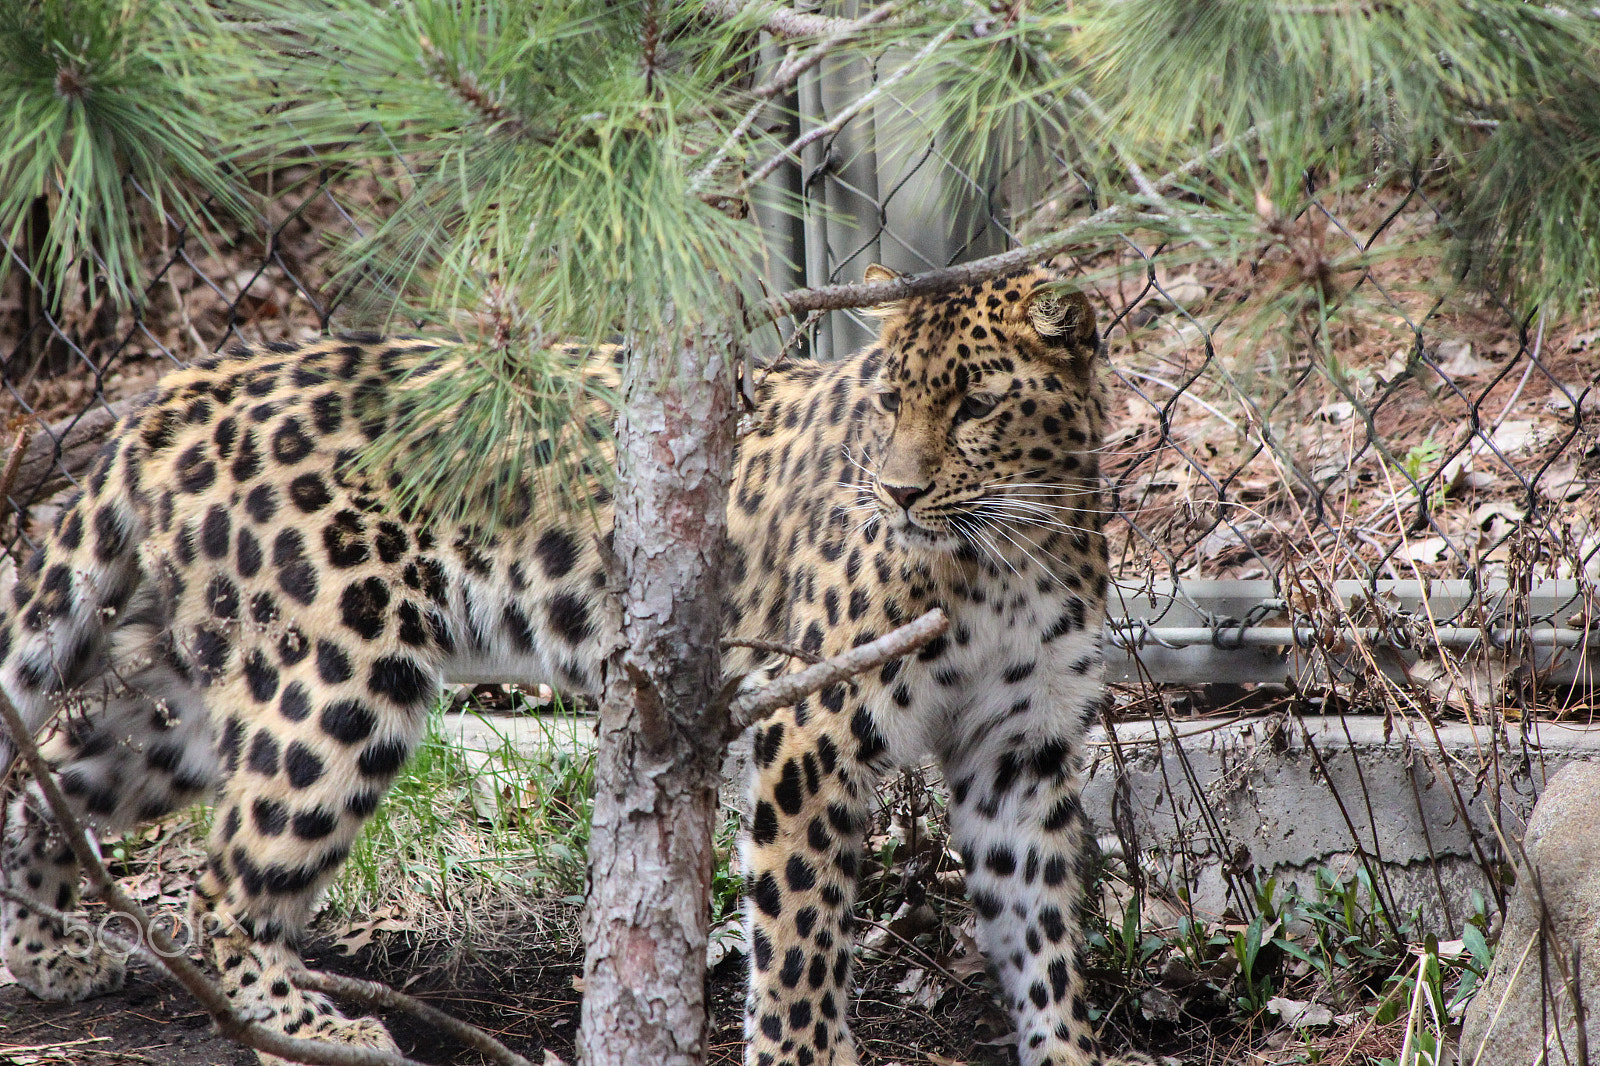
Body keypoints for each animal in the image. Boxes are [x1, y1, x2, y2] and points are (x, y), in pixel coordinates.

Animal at [0, 263, 1142, 1066]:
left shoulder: (1017, 747)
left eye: (976, 404)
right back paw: (315, 1028)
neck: (1013, 552)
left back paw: (50, 951)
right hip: (330, 682)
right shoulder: (808, 729)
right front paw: (805, 1054)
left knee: (49, 784)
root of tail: (182, 390)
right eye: (888, 401)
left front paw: (1067, 1050)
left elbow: (1043, 928)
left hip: (191, 701)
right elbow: (805, 937)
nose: (898, 493)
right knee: (224, 883)